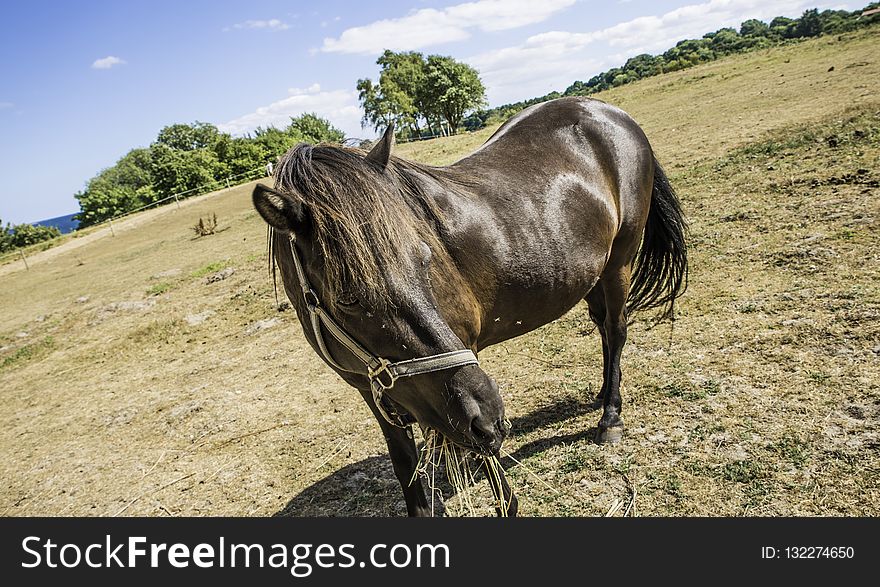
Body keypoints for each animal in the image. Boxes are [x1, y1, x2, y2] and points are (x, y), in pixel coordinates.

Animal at [251, 95, 684, 516]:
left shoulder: (463, 377)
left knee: (616, 328)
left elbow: (491, 468)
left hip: (619, 263)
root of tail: (613, 114)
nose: (490, 414)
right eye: (347, 297)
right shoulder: (374, 393)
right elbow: (409, 470)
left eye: (425, 259)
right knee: (604, 329)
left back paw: (610, 416)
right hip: (592, 272)